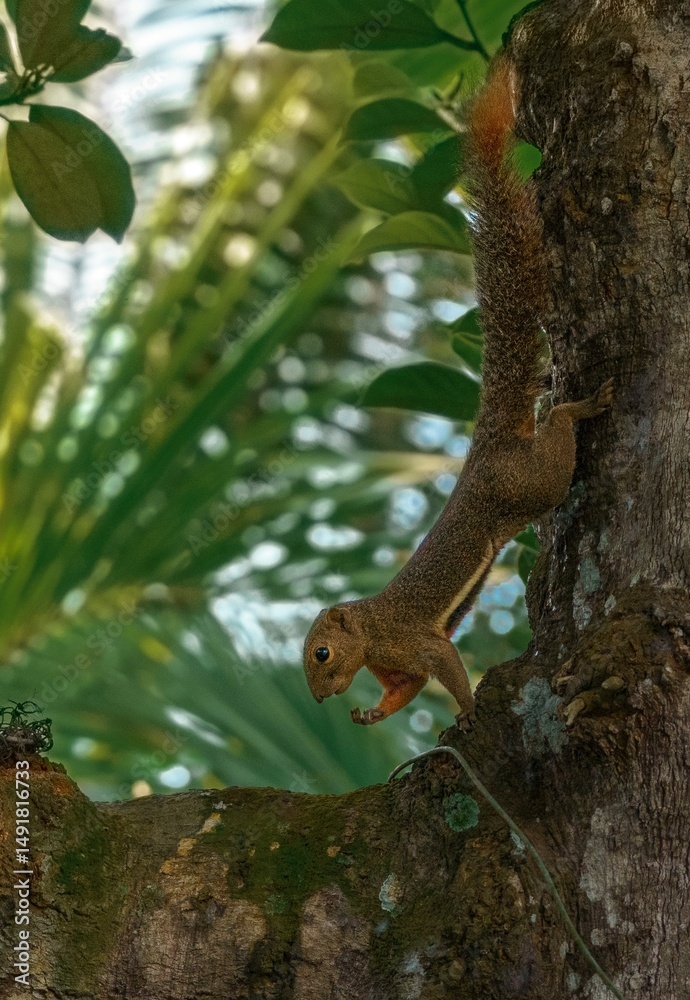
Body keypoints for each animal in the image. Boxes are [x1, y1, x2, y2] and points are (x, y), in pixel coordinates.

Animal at [303, 58, 614, 729]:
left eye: (321, 653)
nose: (319, 699)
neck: (371, 631)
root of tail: (488, 441)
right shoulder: (398, 667)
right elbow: (407, 690)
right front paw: (372, 716)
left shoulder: (412, 640)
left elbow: (443, 665)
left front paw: (468, 711)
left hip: (527, 483)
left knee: (557, 439)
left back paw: (579, 405)